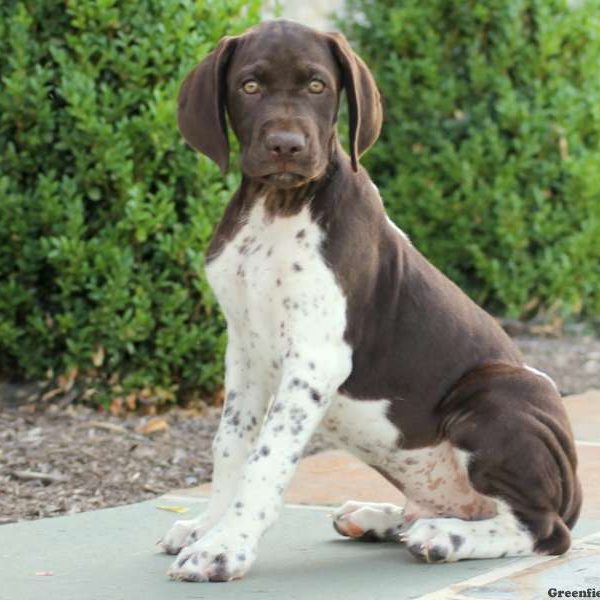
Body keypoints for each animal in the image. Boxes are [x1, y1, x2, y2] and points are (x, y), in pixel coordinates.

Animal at [159, 19, 580, 580]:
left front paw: (225, 547)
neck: (277, 208)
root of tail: (573, 488)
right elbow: (230, 445)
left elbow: (266, 458)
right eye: (249, 86)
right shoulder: (244, 351)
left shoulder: (314, 358)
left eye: (317, 86)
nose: (287, 146)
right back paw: (382, 518)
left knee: (542, 530)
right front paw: (208, 526)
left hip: (497, 395)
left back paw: (445, 537)